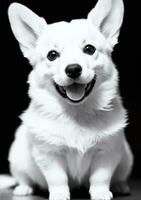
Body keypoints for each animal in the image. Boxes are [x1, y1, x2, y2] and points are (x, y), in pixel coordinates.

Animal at [1, 0, 133, 200]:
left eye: (89, 49)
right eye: (52, 55)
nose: (73, 69)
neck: (77, 112)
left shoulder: (106, 153)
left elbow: (100, 177)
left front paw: (101, 193)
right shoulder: (49, 155)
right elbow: (58, 178)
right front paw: (59, 194)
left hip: (126, 159)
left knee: (119, 175)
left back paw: (119, 185)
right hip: (18, 159)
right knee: (23, 177)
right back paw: (24, 188)